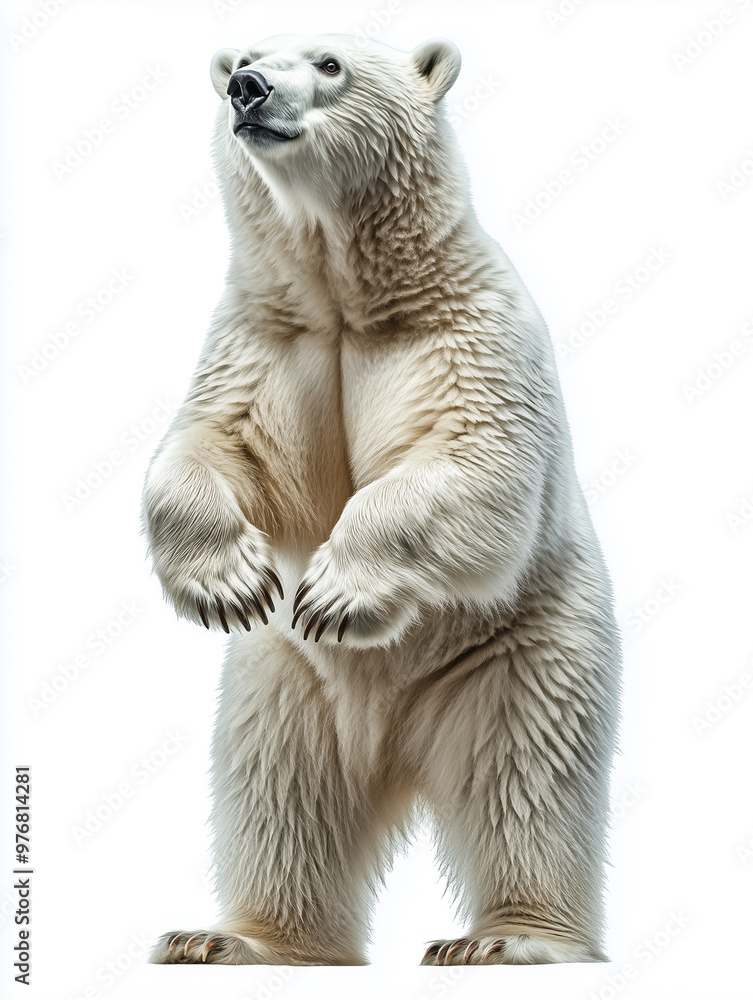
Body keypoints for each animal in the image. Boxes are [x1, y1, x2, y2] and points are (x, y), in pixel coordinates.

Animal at [143, 33, 620, 966]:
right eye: (246, 53)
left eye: (329, 62)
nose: (246, 88)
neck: (354, 297)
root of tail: (395, 746)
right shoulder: (266, 339)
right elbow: (210, 442)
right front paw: (227, 581)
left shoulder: (471, 333)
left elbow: (474, 462)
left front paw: (336, 591)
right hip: (284, 683)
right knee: (279, 792)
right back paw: (235, 939)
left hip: (526, 651)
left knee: (529, 779)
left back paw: (509, 941)